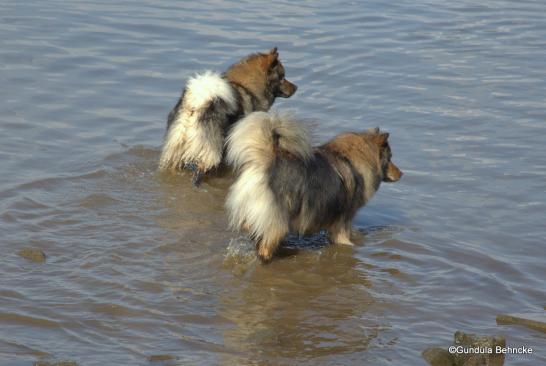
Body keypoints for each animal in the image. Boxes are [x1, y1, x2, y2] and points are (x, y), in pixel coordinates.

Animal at [157, 48, 298, 186]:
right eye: (282, 78)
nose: (296, 88)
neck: (248, 89)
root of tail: (196, 105)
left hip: (174, 151)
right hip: (210, 152)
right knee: (199, 172)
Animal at [223, 111, 402, 264]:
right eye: (390, 158)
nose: (401, 174)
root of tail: (265, 161)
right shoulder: (343, 220)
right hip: (278, 216)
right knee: (266, 245)